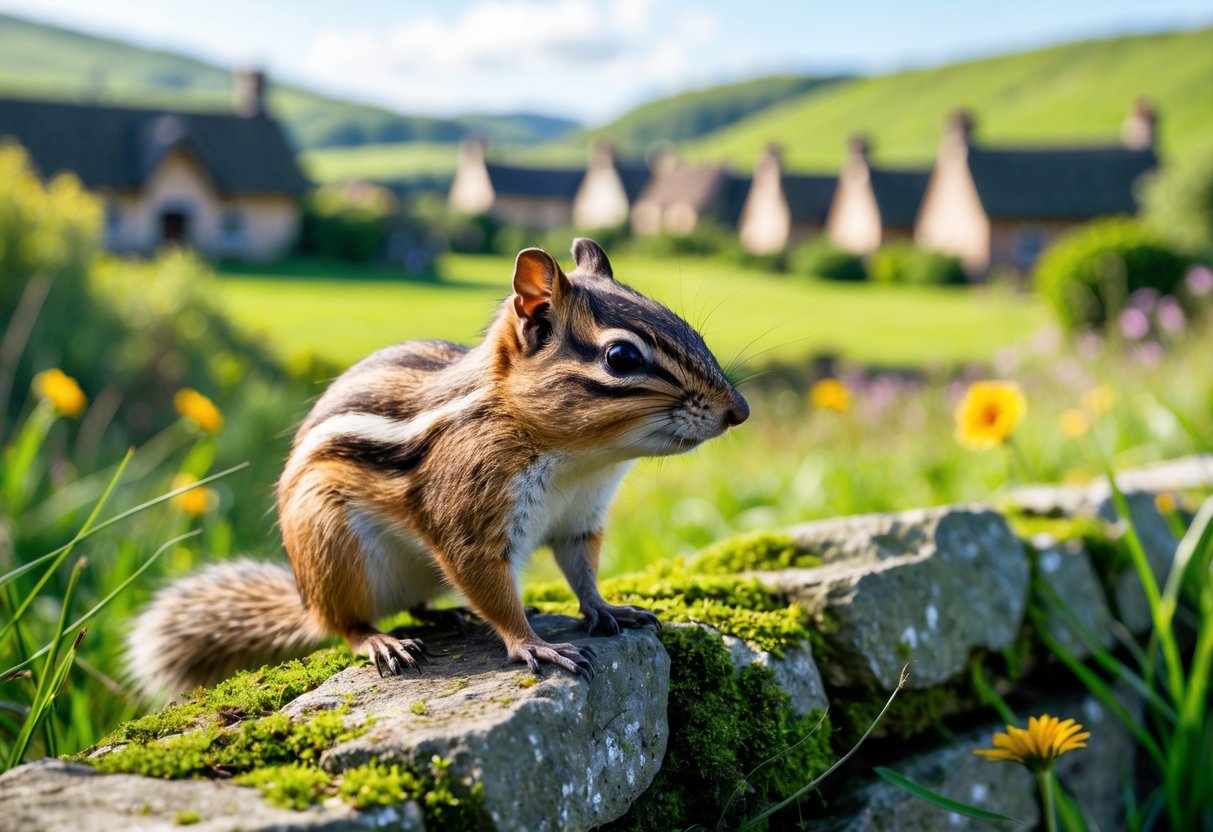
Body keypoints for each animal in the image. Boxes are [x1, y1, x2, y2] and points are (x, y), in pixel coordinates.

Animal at [128, 238, 749, 696]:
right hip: (332, 548)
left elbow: (583, 573)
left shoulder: (580, 519)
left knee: (418, 604)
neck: (581, 459)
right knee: (344, 624)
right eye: (621, 357)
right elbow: (493, 589)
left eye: (689, 329)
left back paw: (448, 617)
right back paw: (383, 641)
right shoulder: (471, 523)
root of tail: (306, 597)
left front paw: (605, 608)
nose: (738, 411)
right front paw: (533, 644)